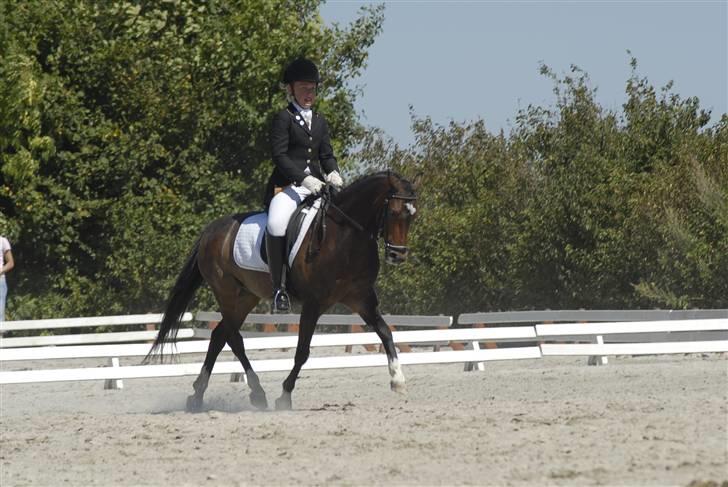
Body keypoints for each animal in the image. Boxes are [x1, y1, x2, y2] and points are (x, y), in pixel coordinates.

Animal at [145, 171, 420, 411]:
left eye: (412, 216)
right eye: (393, 212)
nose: (397, 255)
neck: (344, 238)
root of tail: (211, 230)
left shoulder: (361, 298)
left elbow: (385, 332)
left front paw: (398, 381)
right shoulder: (313, 303)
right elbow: (302, 352)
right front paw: (285, 396)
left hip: (247, 296)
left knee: (219, 336)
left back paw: (199, 395)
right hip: (227, 292)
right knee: (232, 337)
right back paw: (254, 393)